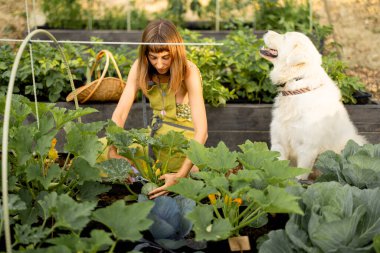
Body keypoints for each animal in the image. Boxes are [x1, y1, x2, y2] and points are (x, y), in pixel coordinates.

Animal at [260, 30, 366, 180]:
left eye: (285, 37)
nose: (266, 31)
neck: (296, 84)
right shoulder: (278, 143)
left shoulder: (307, 149)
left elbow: (299, 177)